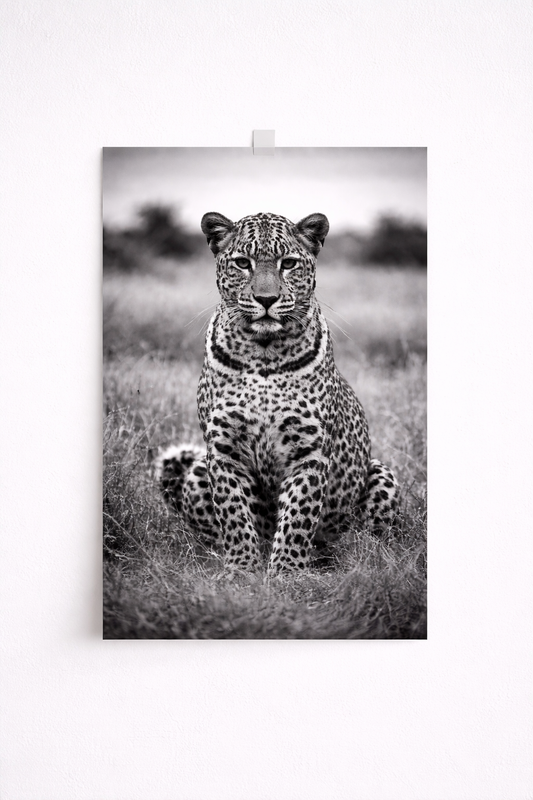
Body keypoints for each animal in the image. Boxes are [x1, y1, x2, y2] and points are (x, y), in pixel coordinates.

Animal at [156, 211, 400, 575]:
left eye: (289, 264)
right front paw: (241, 569)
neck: (264, 353)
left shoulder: (309, 451)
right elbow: (233, 513)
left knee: (368, 537)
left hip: (381, 474)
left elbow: (298, 515)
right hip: (199, 467)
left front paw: (287, 572)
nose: (267, 300)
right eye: (243, 263)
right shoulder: (224, 450)